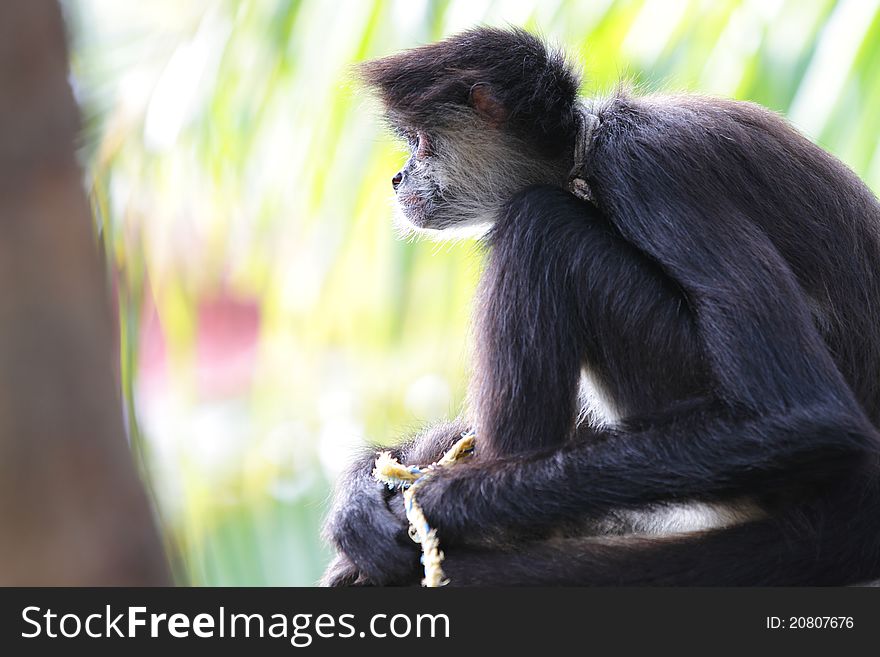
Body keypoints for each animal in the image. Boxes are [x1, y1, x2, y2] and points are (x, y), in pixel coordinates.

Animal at [320, 28, 880, 588]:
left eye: (420, 142)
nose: (397, 178)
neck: (585, 150)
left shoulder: (645, 164)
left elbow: (808, 417)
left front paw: (434, 501)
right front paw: (362, 497)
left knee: (542, 223)